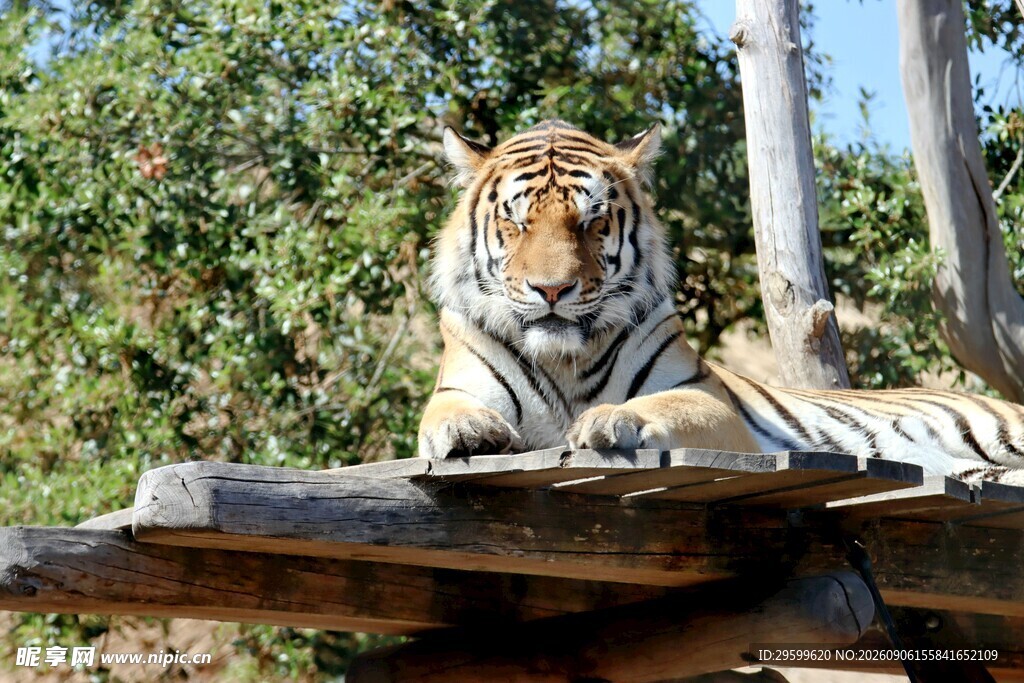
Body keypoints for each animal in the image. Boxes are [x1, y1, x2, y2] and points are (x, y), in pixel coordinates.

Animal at [418, 119, 1024, 483]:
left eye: (591, 221)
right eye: (516, 222)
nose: (551, 290)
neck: (565, 359)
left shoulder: (708, 400)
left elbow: (663, 405)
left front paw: (608, 419)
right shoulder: (457, 386)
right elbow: (442, 415)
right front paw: (468, 432)